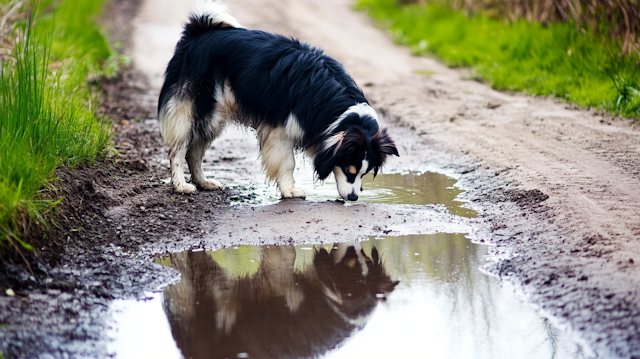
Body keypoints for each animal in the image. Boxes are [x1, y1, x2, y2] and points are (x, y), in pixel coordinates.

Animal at [159, 0, 398, 202]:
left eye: (365, 173)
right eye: (349, 170)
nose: (354, 198)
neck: (330, 104)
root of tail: (198, 32)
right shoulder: (280, 128)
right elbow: (287, 161)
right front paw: (290, 190)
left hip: (214, 115)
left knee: (195, 150)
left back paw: (204, 182)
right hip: (195, 105)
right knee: (179, 148)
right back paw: (181, 186)